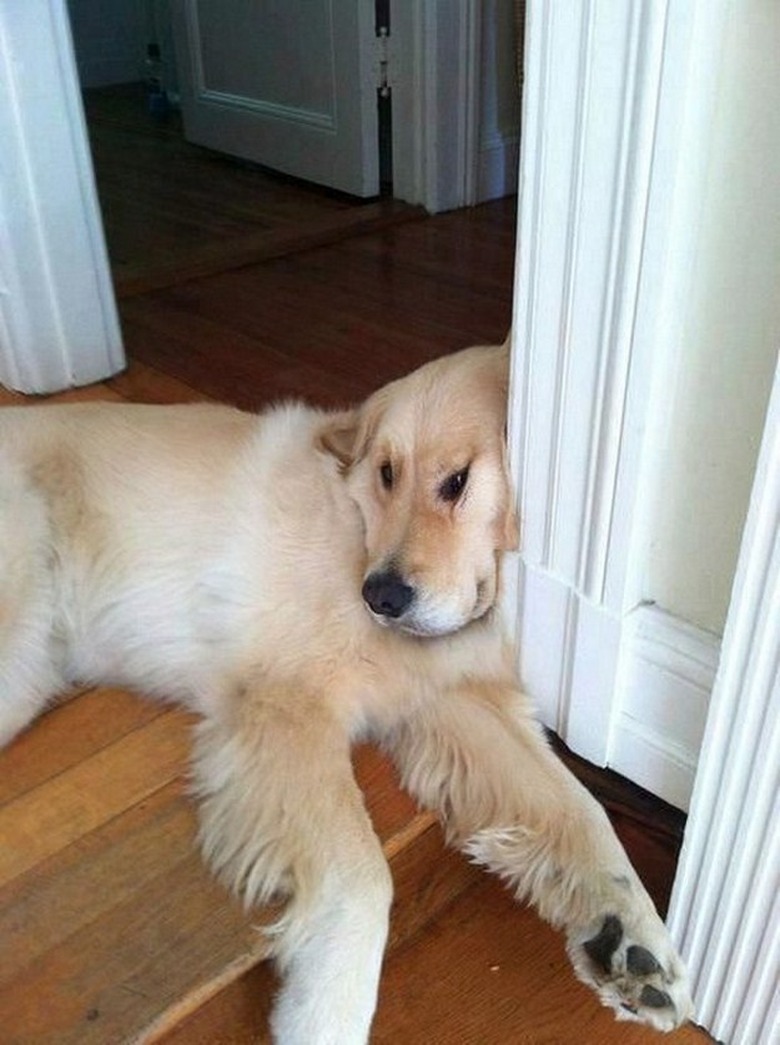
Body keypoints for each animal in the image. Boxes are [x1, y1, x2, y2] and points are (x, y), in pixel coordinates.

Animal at [1, 342, 694, 1036]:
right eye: (386, 473)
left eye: (457, 480)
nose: (380, 597)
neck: (356, 530)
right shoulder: (286, 706)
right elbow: (363, 880)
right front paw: (325, 1015)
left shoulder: (452, 703)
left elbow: (583, 810)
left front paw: (633, 937)